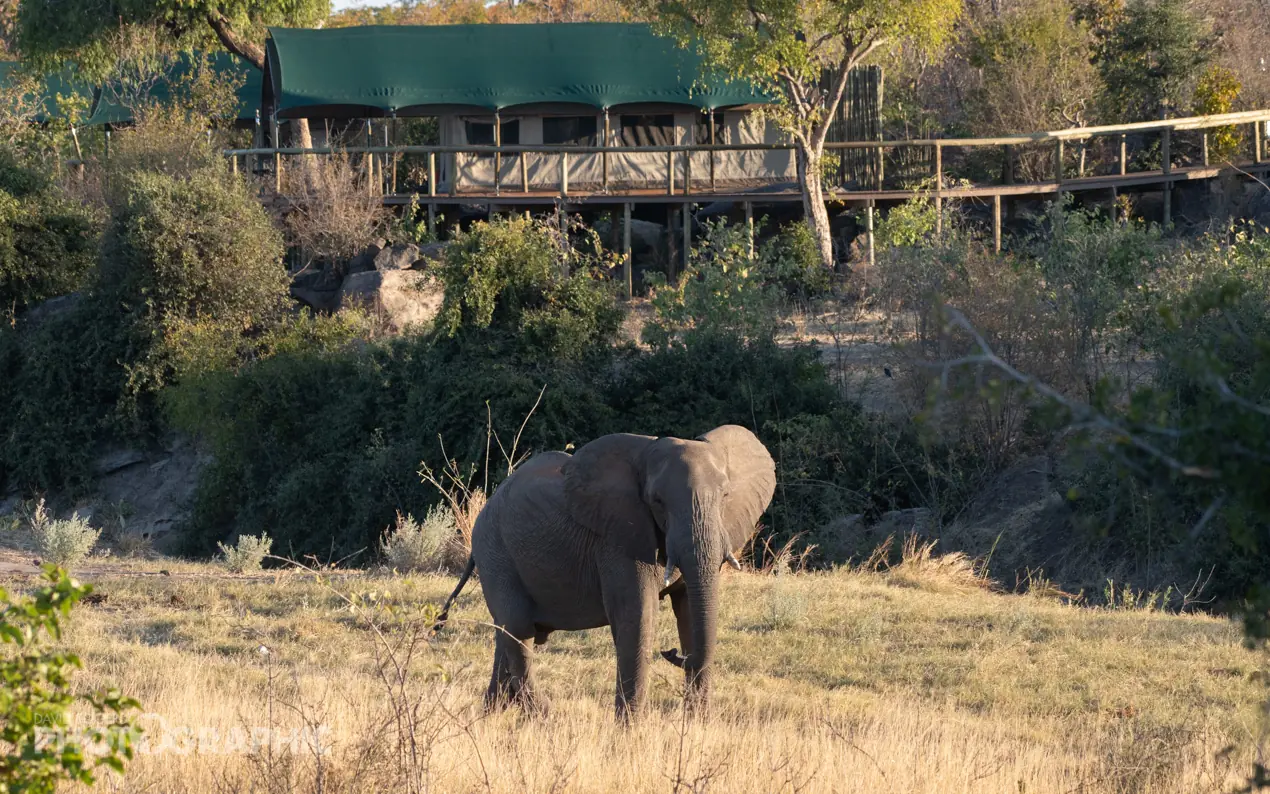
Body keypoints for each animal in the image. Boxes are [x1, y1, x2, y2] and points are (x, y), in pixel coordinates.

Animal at [434, 424, 776, 719]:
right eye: (657, 501)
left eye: (726, 496)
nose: (672, 652)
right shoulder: (616, 539)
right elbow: (637, 615)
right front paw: (630, 733)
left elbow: (690, 612)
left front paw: (696, 727)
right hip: (496, 553)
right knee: (518, 631)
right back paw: (544, 718)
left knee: (505, 637)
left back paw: (491, 716)